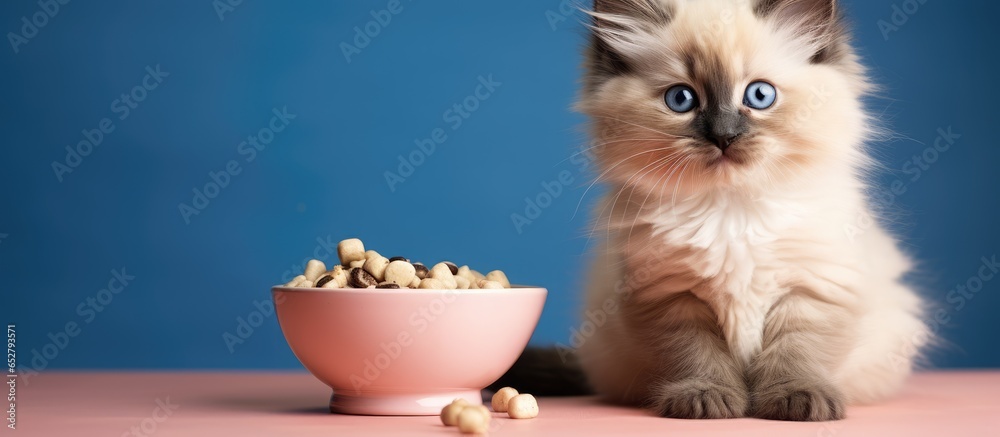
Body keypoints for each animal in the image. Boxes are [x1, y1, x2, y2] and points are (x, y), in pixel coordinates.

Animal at [580, 0, 928, 422]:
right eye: (681, 99)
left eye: (760, 95)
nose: (723, 136)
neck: (733, 212)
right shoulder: (672, 296)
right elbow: (698, 356)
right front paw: (706, 398)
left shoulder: (810, 290)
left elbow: (795, 354)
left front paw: (799, 399)